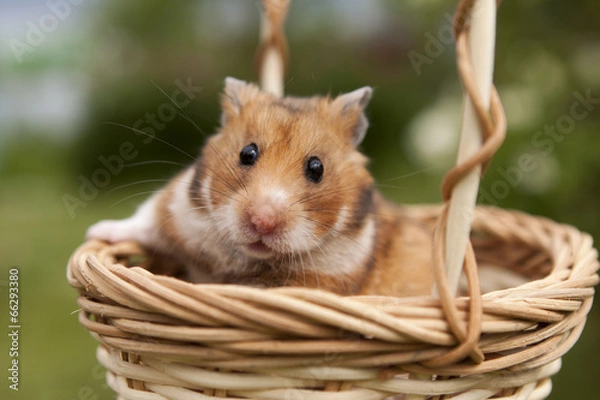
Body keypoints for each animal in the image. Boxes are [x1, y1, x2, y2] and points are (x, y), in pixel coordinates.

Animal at [86, 78, 434, 296]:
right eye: (247, 153)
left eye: (317, 168)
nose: (262, 223)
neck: (246, 257)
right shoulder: (173, 207)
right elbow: (142, 223)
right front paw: (95, 232)